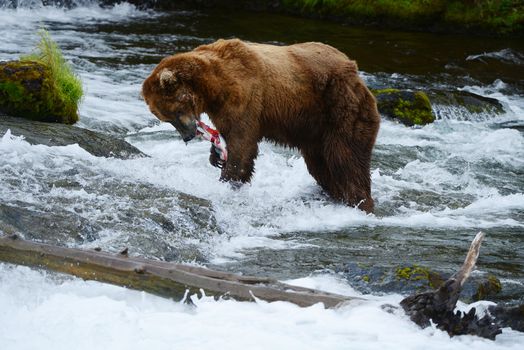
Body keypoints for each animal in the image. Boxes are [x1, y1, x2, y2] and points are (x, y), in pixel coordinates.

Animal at [142, 39, 380, 212]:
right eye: (166, 118)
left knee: (346, 157)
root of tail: (356, 72)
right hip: (313, 129)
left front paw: (229, 179)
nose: (188, 136)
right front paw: (216, 156)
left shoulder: (245, 95)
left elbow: (242, 142)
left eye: (175, 112)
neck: (212, 87)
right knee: (321, 165)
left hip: (338, 106)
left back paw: (359, 202)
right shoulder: (221, 108)